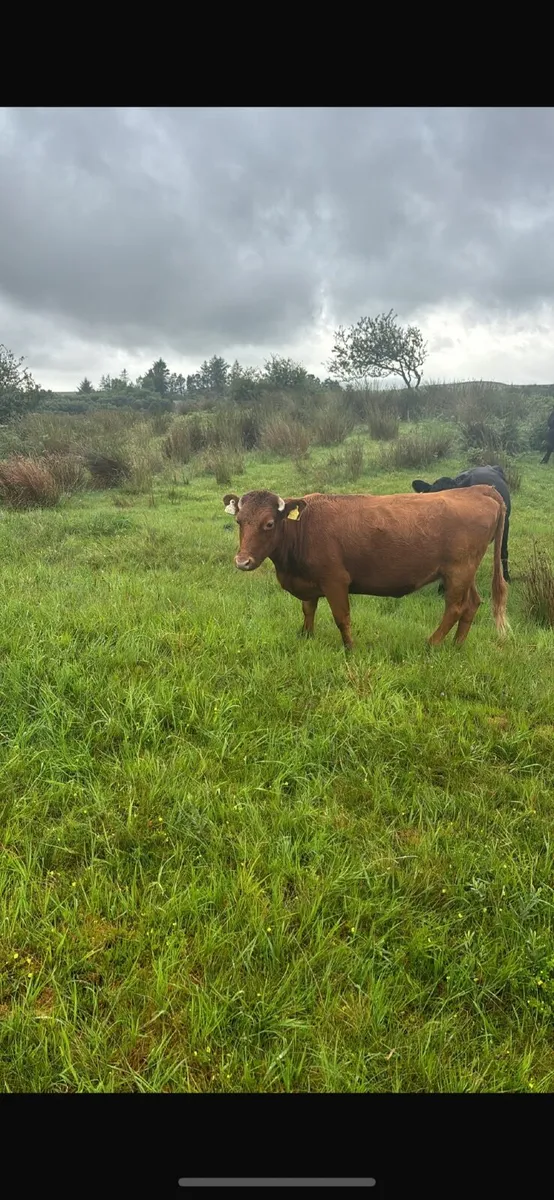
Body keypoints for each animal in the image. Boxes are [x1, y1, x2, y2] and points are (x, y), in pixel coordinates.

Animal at [222, 487, 509, 651]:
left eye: (269, 523)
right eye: (239, 521)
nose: (242, 561)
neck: (302, 527)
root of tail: (479, 490)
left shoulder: (335, 581)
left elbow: (341, 617)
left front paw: (350, 648)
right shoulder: (309, 582)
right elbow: (308, 609)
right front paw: (306, 636)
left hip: (458, 571)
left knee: (455, 608)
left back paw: (432, 644)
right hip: (465, 572)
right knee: (472, 604)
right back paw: (457, 646)